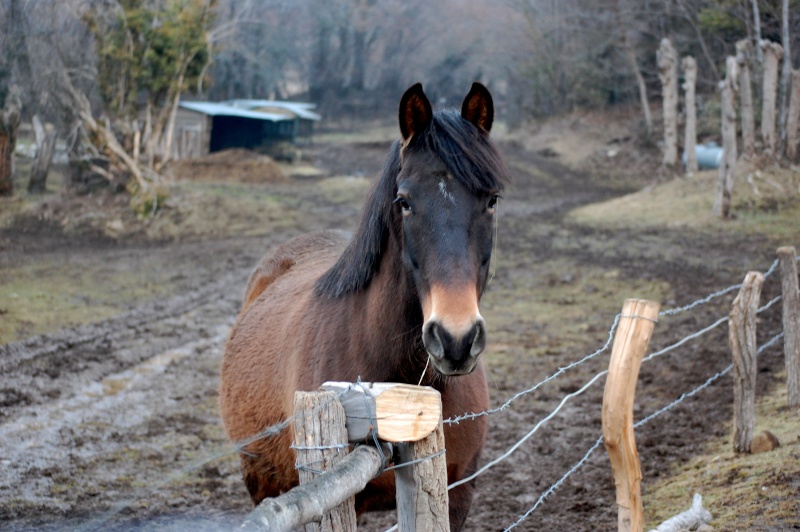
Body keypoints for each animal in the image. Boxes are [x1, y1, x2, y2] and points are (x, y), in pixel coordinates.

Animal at [216, 82, 510, 528]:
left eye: (491, 199)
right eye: (404, 201)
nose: (455, 338)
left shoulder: (458, 493)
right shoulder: (339, 499)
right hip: (264, 483)